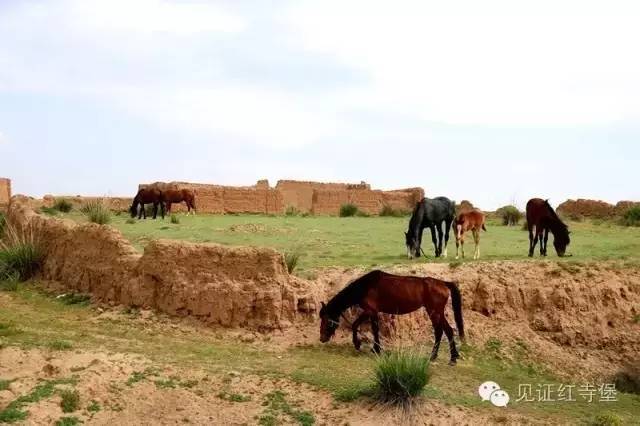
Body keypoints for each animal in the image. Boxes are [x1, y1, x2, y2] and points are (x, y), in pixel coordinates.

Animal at [320, 272, 464, 364]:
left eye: (326, 319)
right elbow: (375, 330)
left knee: (440, 332)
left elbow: (357, 325)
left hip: (434, 312)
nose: (322, 338)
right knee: (448, 331)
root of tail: (443, 283)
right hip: (438, 313)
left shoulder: (370, 310)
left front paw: (359, 344)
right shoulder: (374, 312)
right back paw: (452, 357)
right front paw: (376, 348)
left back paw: (437, 357)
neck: (366, 286)